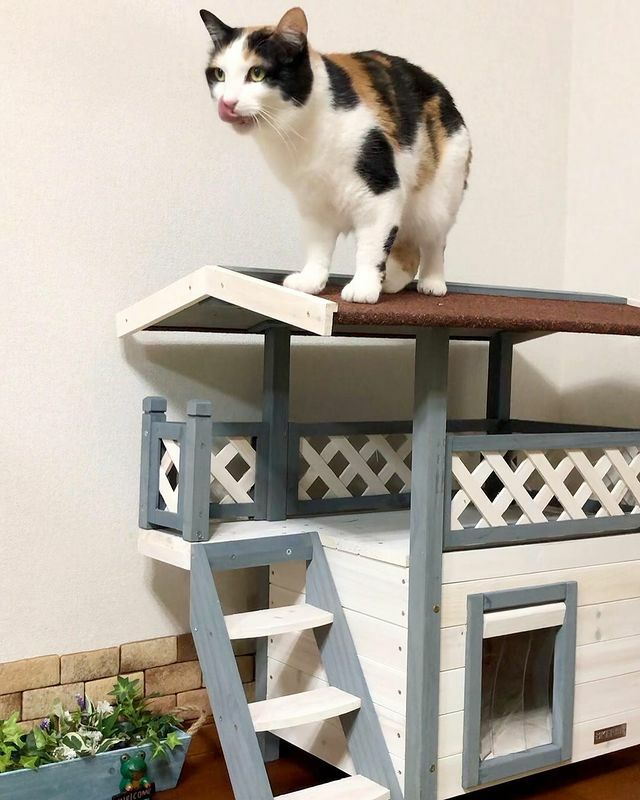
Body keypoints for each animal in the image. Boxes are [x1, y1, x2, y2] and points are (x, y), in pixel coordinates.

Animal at [200, 7, 471, 303]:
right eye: (219, 74)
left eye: (257, 73)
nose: (227, 103)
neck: (300, 135)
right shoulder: (314, 203)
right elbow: (317, 247)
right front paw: (311, 282)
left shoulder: (381, 191)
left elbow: (371, 245)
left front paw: (363, 287)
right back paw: (390, 282)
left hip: (440, 197)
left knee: (434, 242)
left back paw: (431, 283)